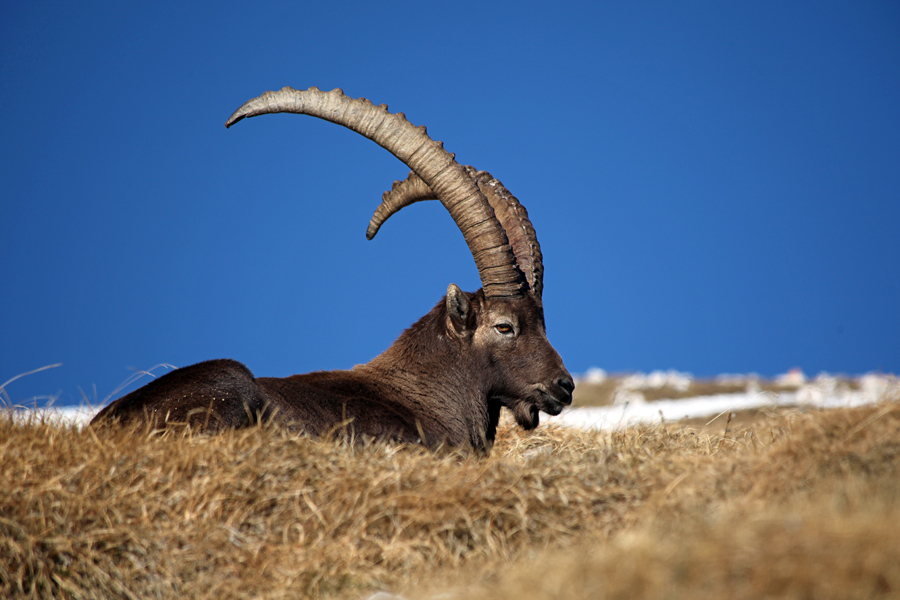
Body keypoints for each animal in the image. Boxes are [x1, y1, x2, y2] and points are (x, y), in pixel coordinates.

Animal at [90, 87, 574, 452]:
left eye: (543, 322)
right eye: (504, 326)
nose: (564, 386)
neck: (432, 394)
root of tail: (108, 424)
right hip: (231, 378)